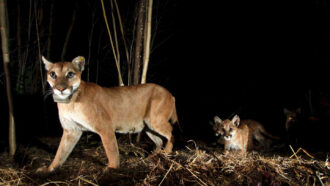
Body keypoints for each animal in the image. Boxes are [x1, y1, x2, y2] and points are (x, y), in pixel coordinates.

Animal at [36, 56, 178, 174]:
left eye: (70, 74)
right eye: (52, 74)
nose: (60, 89)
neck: (69, 102)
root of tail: (170, 93)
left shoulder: (105, 127)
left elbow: (111, 150)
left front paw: (111, 169)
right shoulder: (71, 130)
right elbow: (61, 152)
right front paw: (49, 169)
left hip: (155, 120)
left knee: (171, 132)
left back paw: (167, 153)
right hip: (148, 126)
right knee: (159, 140)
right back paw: (152, 157)